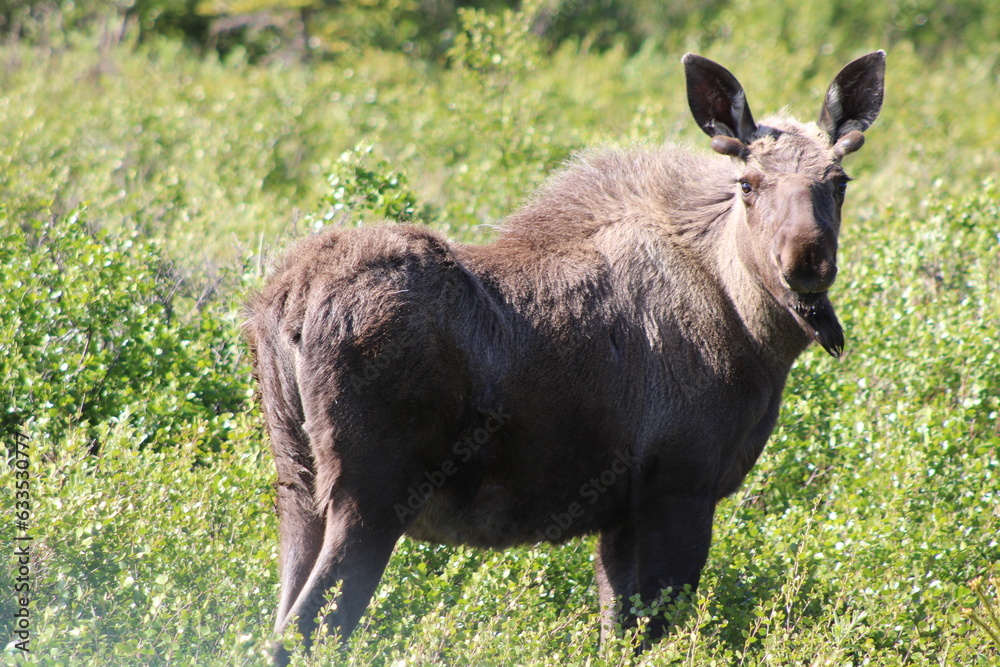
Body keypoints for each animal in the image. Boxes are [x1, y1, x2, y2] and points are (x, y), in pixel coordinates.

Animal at [246, 49, 888, 660]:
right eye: (748, 183)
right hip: (370, 493)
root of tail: (288, 310)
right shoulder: (679, 486)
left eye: (839, 181)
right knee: (303, 632)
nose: (806, 259)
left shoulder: (622, 511)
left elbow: (617, 632)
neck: (752, 332)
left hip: (298, 488)